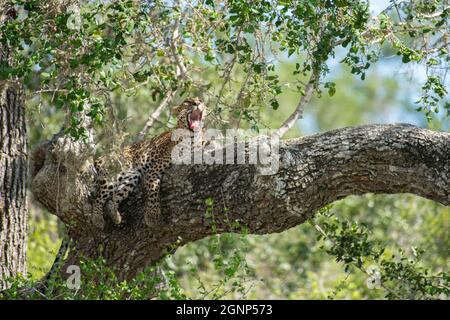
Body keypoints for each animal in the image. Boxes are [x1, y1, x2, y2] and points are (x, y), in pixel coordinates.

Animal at [93, 97, 209, 228]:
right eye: (187, 102)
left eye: (200, 100)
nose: (197, 103)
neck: (191, 138)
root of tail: (101, 157)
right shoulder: (154, 169)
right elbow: (153, 190)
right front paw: (152, 216)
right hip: (114, 173)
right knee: (99, 197)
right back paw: (97, 218)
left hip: (132, 177)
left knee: (112, 200)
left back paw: (115, 216)